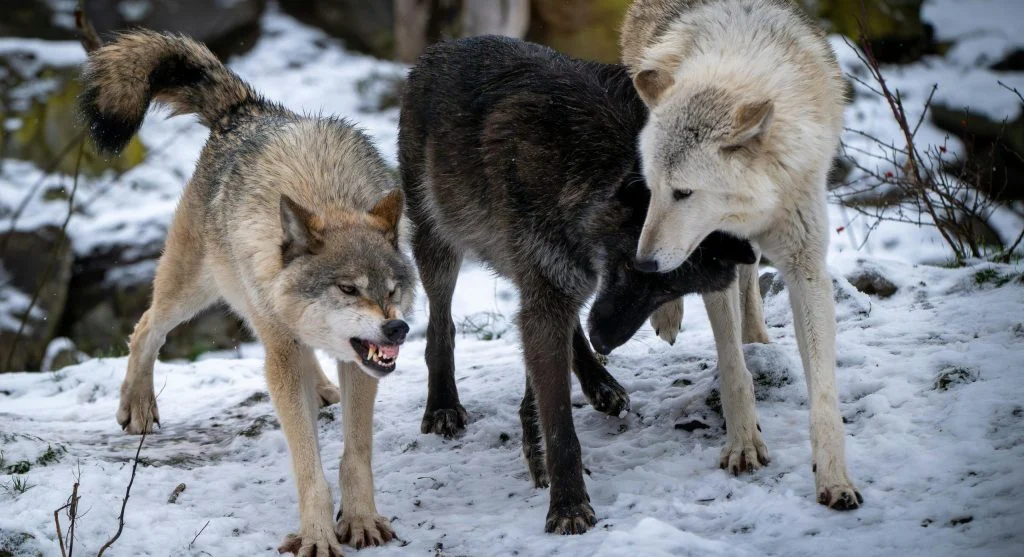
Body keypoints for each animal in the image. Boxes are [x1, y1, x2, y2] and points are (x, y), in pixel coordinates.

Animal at [79, 31, 414, 555]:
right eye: (348, 288)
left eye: (393, 289)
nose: (397, 328)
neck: (326, 195)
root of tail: (245, 109)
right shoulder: (285, 347)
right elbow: (309, 465)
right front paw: (317, 535)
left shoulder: (359, 362)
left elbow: (356, 452)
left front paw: (360, 520)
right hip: (196, 287)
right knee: (146, 327)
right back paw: (138, 406)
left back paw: (320, 387)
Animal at [399, 34, 754, 534]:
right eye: (633, 267)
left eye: (668, 291)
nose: (606, 339)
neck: (588, 165)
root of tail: (445, 47)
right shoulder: (549, 290)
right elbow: (559, 421)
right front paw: (567, 503)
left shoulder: (560, 286)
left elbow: (546, 386)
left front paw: (538, 446)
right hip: (441, 243)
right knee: (440, 325)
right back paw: (443, 406)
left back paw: (599, 381)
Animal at [620, 0, 862, 509]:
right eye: (654, 189)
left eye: (684, 192)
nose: (644, 264)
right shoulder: (715, 258)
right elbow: (733, 368)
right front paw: (744, 444)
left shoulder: (806, 266)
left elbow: (824, 392)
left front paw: (834, 478)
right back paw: (670, 314)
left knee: (752, 291)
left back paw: (758, 336)